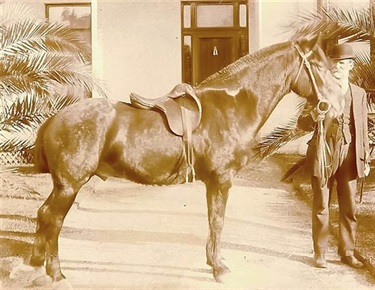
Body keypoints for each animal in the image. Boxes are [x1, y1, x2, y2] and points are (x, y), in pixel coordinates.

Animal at [25, 34, 344, 286]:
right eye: (318, 67)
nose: (337, 103)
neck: (233, 106)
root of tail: (54, 118)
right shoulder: (221, 180)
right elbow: (218, 221)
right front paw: (219, 268)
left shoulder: (213, 182)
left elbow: (212, 220)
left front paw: (213, 261)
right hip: (69, 186)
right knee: (52, 219)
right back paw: (56, 273)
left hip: (62, 186)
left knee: (43, 215)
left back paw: (37, 264)